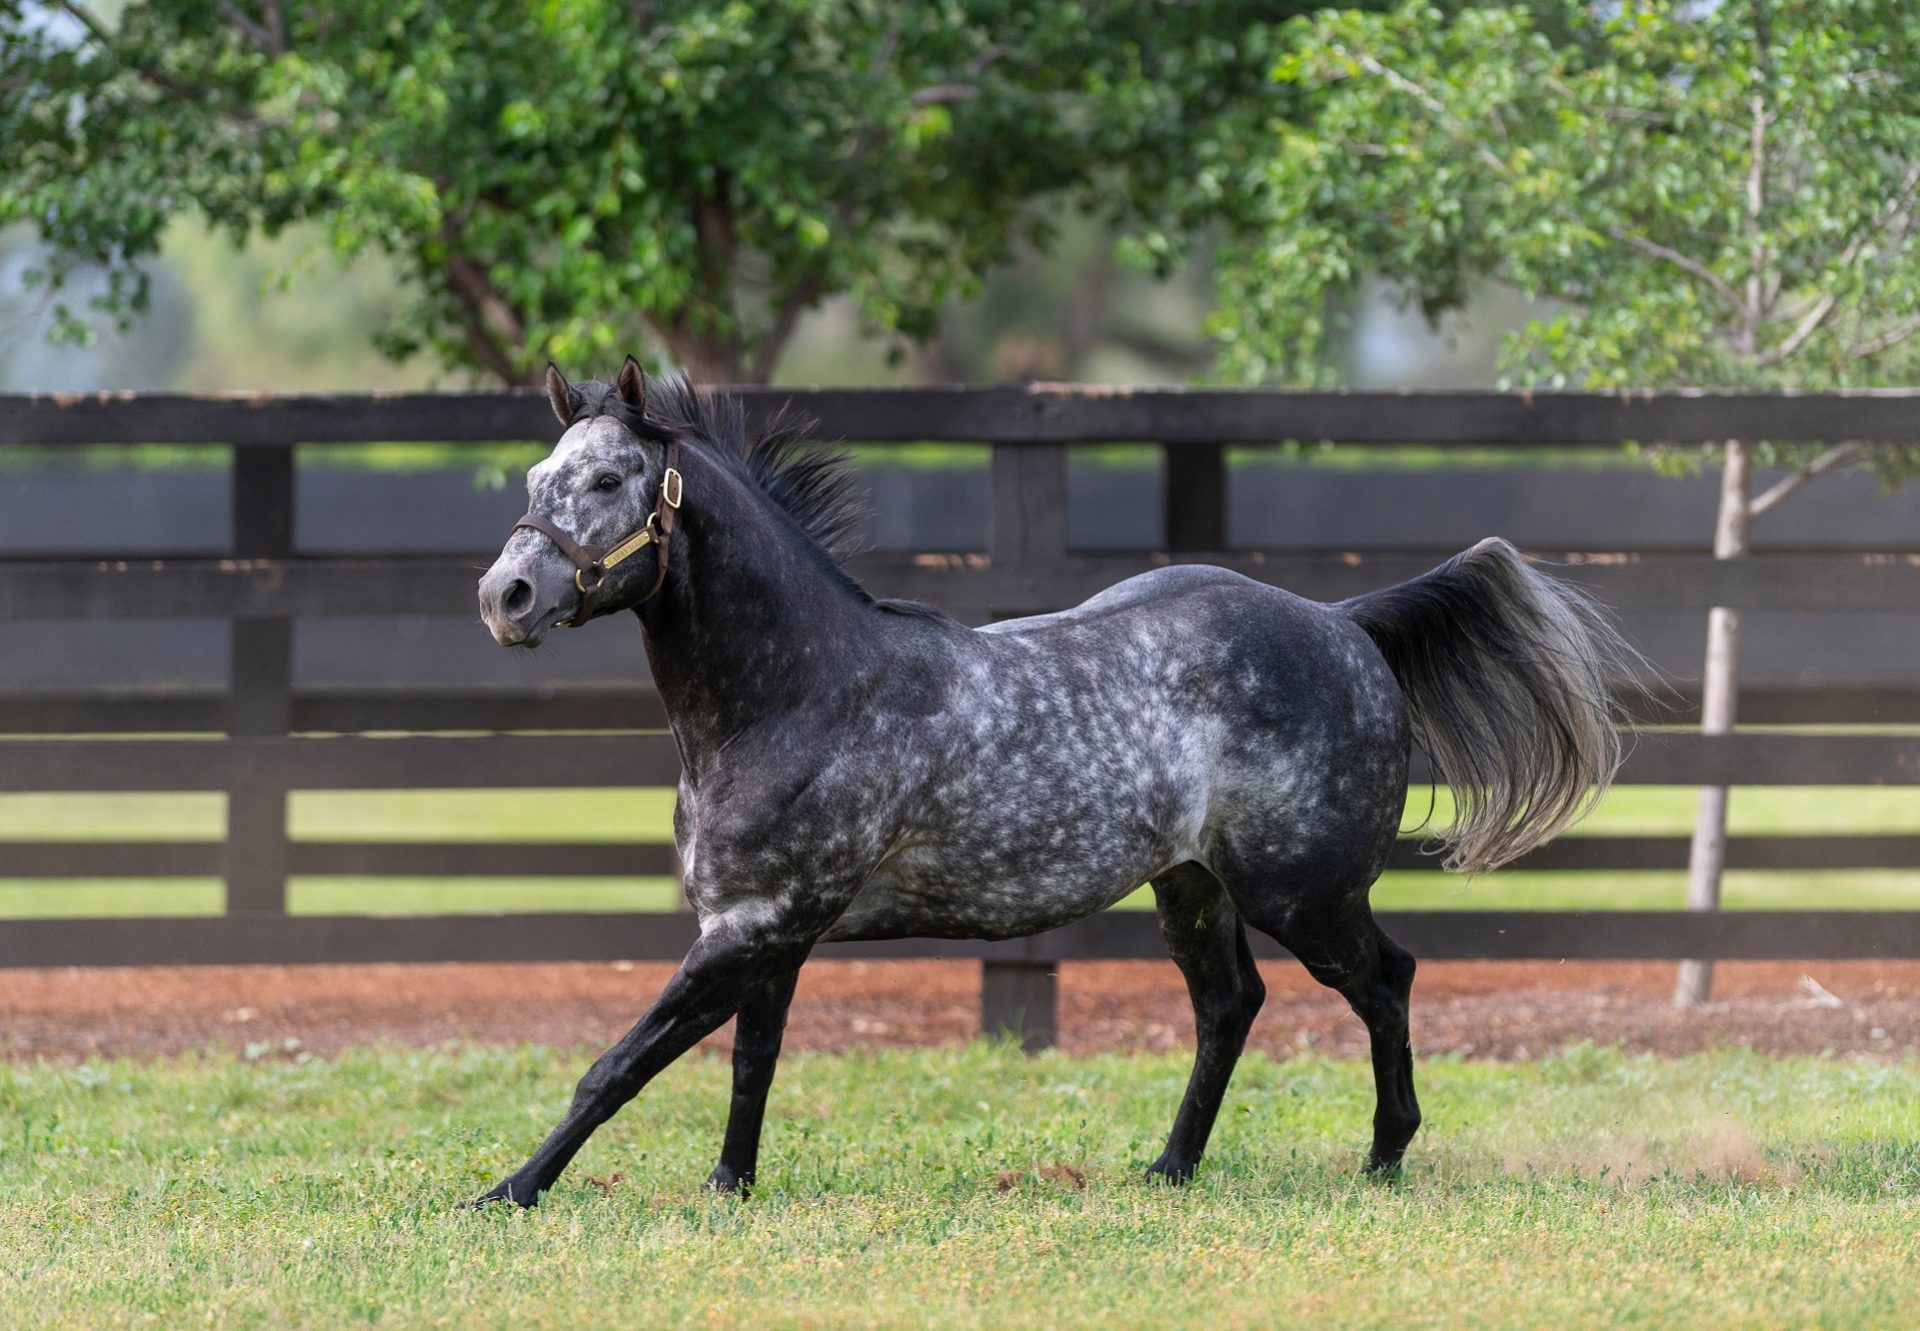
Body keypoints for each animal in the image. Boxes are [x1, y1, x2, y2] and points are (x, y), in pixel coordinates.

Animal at [472, 361, 1643, 1206]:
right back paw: (1169, 1169)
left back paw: (1385, 1156)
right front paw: (728, 1187)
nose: (505, 595)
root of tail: (1346, 624)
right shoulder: (767, 933)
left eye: (609, 480)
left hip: (1304, 894)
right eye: (533, 480)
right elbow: (750, 1062)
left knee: (1386, 979)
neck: (799, 692)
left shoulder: (750, 929)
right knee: (1231, 1005)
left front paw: (508, 1191)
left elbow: (617, 1065)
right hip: (1192, 887)